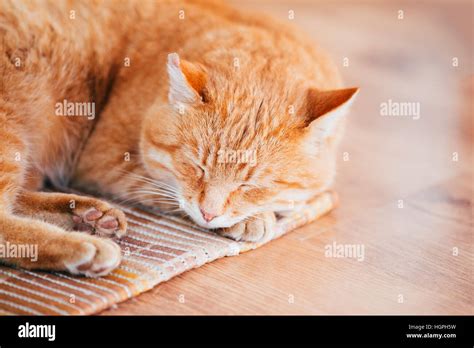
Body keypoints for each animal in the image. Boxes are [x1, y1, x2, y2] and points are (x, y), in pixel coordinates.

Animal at [0, 0, 356, 278]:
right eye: (196, 167)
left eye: (250, 186)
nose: (209, 214)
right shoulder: (102, 158)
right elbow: (165, 192)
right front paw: (252, 220)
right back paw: (84, 245)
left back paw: (87, 215)